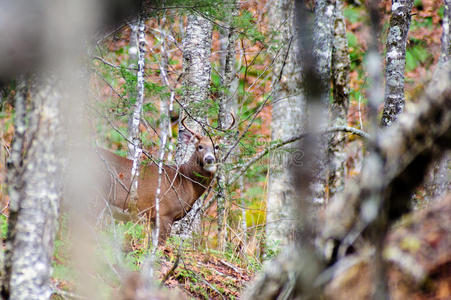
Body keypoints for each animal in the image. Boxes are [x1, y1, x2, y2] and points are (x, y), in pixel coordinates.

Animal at [99, 115, 237, 244]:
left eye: (217, 147)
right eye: (200, 146)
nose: (209, 158)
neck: (186, 180)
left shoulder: (154, 219)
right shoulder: (164, 212)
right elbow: (160, 246)